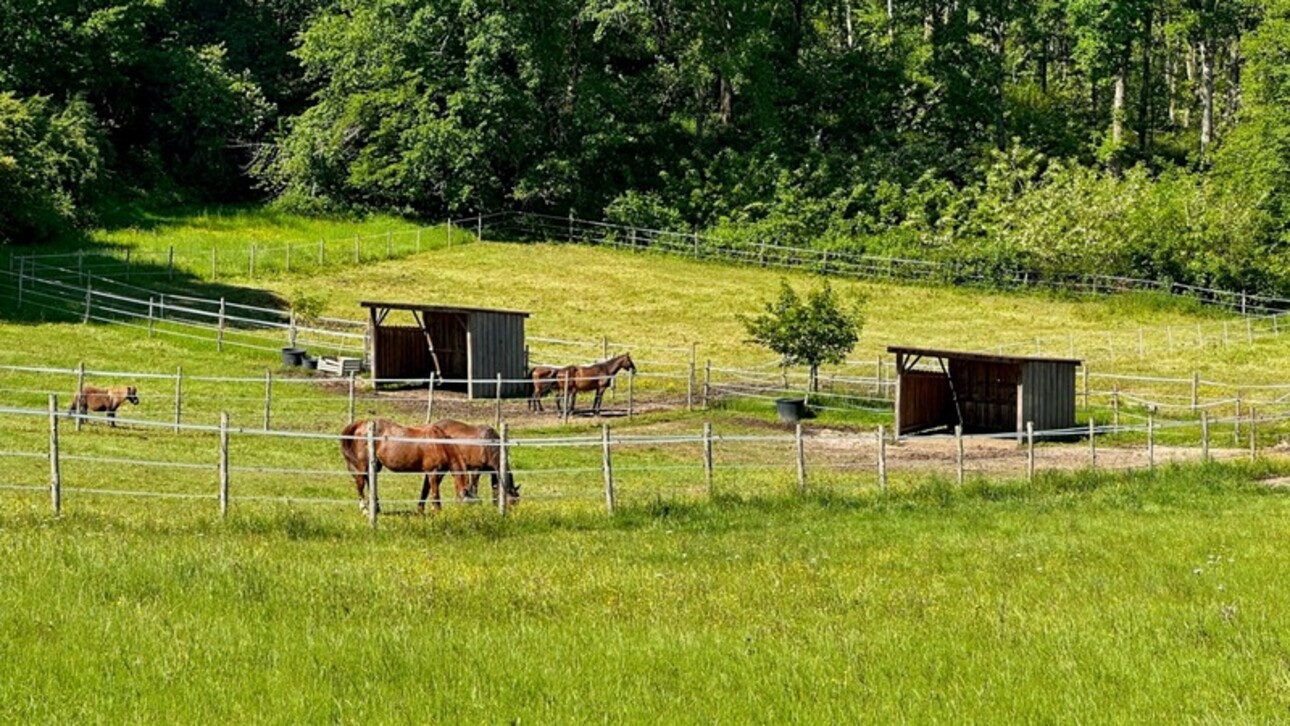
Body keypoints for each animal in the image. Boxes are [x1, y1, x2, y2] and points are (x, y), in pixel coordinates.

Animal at [337, 417, 469, 513]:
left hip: (374, 466)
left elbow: (425, 491)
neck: (439, 445)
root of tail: (361, 424)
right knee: (360, 484)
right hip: (362, 466)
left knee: (369, 481)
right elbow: (435, 493)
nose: (462, 515)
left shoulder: (433, 473)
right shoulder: (433, 472)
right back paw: (364, 510)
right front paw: (438, 512)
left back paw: (376, 508)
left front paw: (420, 511)